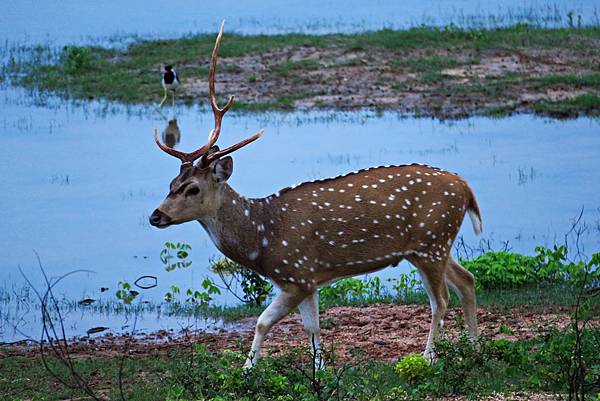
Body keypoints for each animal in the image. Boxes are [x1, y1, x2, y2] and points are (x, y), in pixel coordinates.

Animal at [150, 21, 482, 366]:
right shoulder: (309, 281)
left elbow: (262, 321)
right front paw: (319, 368)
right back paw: (475, 346)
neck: (261, 240)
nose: (155, 216)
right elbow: (312, 328)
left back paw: (428, 356)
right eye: (171, 183)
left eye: (193, 188)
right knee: (467, 280)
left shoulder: (295, 273)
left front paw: (248, 367)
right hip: (433, 244)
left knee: (441, 299)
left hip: (431, 242)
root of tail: (466, 187)